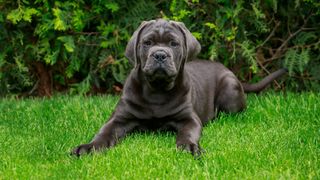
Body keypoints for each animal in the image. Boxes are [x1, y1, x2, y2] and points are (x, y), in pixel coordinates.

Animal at [72, 19, 288, 156]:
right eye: (147, 42)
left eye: (173, 43)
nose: (160, 54)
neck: (156, 91)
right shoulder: (120, 118)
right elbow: (104, 132)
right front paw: (90, 147)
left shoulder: (189, 119)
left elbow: (187, 134)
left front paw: (190, 147)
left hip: (230, 90)